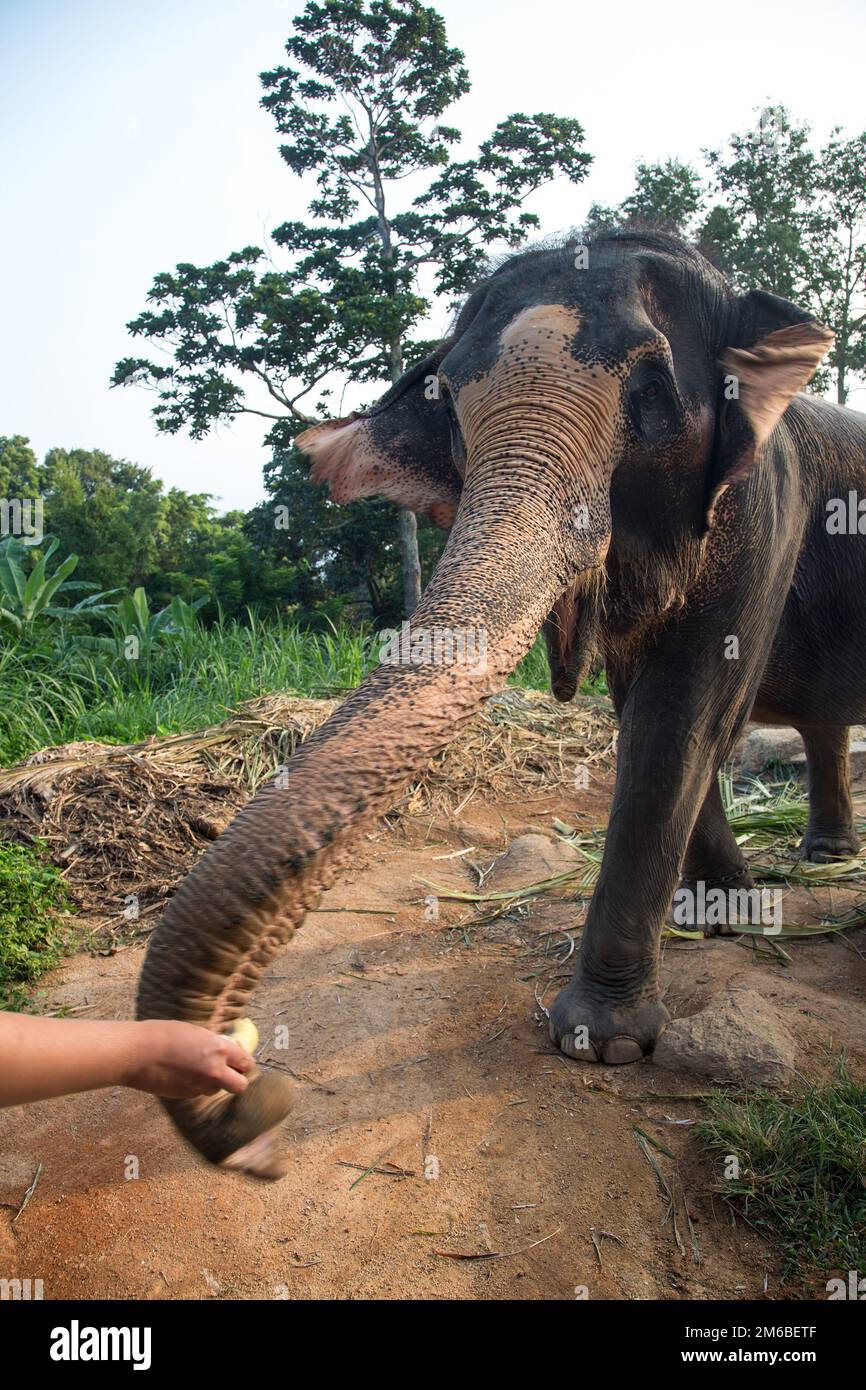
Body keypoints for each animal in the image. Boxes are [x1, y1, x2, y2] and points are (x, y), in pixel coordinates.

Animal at [136, 225, 866, 1173]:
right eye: (447, 400)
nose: (261, 1093)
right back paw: (822, 857)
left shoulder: (765, 506)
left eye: (651, 391)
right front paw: (717, 922)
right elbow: (644, 707)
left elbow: (691, 707)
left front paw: (603, 1040)